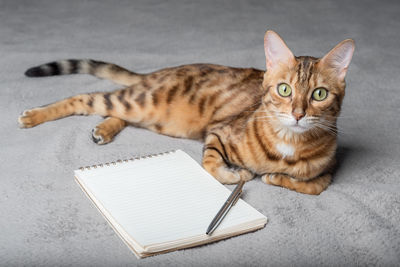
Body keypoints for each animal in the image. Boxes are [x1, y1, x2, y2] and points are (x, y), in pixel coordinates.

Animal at [19, 30, 356, 195]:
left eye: (319, 94)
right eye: (284, 90)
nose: (298, 114)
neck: (289, 144)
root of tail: (157, 73)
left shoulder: (328, 173)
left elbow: (310, 187)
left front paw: (274, 177)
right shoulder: (217, 133)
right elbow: (212, 167)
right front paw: (240, 174)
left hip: (151, 114)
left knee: (115, 112)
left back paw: (103, 130)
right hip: (144, 101)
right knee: (85, 98)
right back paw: (34, 116)